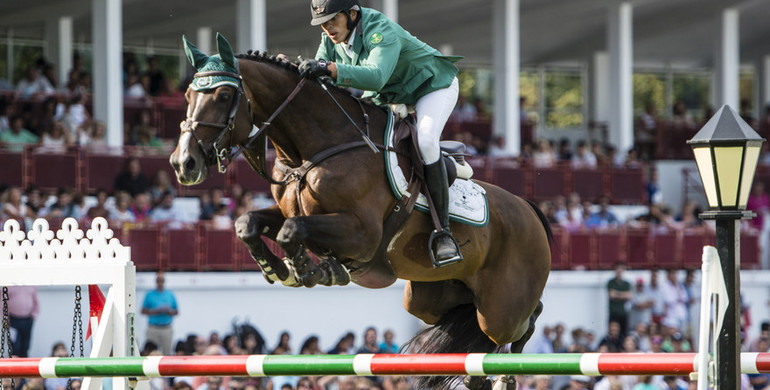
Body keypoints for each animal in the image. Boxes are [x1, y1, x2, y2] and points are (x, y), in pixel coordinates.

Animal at [170, 34, 548, 390]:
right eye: (187, 94)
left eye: (223, 96)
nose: (183, 163)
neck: (315, 149)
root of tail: (531, 210)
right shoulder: (296, 212)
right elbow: (249, 222)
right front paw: (279, 268)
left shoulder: (362, 234)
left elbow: (293, 230)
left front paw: (313, 269)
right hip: (430, 298)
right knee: (473, 325)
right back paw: (478, 377)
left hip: (501, 307)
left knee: (522, 322)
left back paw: (502, 376)